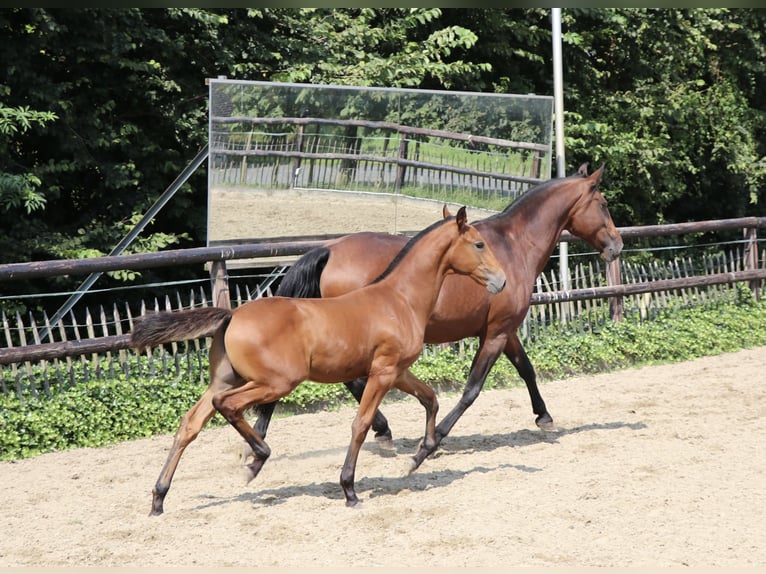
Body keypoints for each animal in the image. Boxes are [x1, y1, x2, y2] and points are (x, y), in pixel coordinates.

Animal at [130, 208, 510, 516]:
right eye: (479, 244)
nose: (502, 280)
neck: (399, 299)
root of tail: (232, 315)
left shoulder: (397, 370)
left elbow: (430, 398)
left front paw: (420, 455)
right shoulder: (383, 372)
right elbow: (361, 424)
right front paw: (350, 490)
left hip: (226, 379)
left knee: (189, 425)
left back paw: (159, 498)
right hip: (274, 383)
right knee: (229, 406)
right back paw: (255, 460)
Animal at [252, 163, 624, 472]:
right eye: (604, 203)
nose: (617, 246)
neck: (514, 245)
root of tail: (328, 249)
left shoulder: (503, 331)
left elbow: (526, 369)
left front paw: (544, 417)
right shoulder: (497, 332)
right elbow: (472, 389)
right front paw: (431, 443)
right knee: (353, 383)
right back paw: (382, 432)